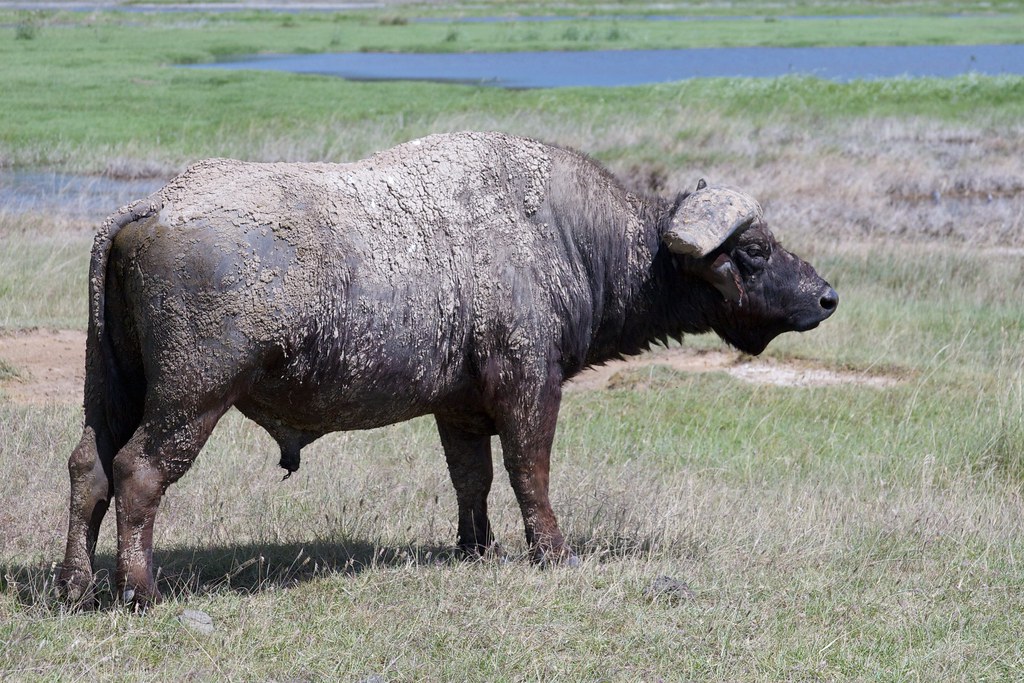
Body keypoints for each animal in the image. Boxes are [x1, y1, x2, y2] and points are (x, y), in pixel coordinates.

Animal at [60, 132, 837, 606]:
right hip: (192, 397)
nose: (827, 295)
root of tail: (154, 204)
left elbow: (473, 478)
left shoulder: (458, 407)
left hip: (112, 389)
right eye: (756, 250)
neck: (567, 237)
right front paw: (553, 552)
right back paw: (140, 589)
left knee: (89, 468)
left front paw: (477, 547)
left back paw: (76, 586)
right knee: (138, 473)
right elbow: (529, 472)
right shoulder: (529, 387)